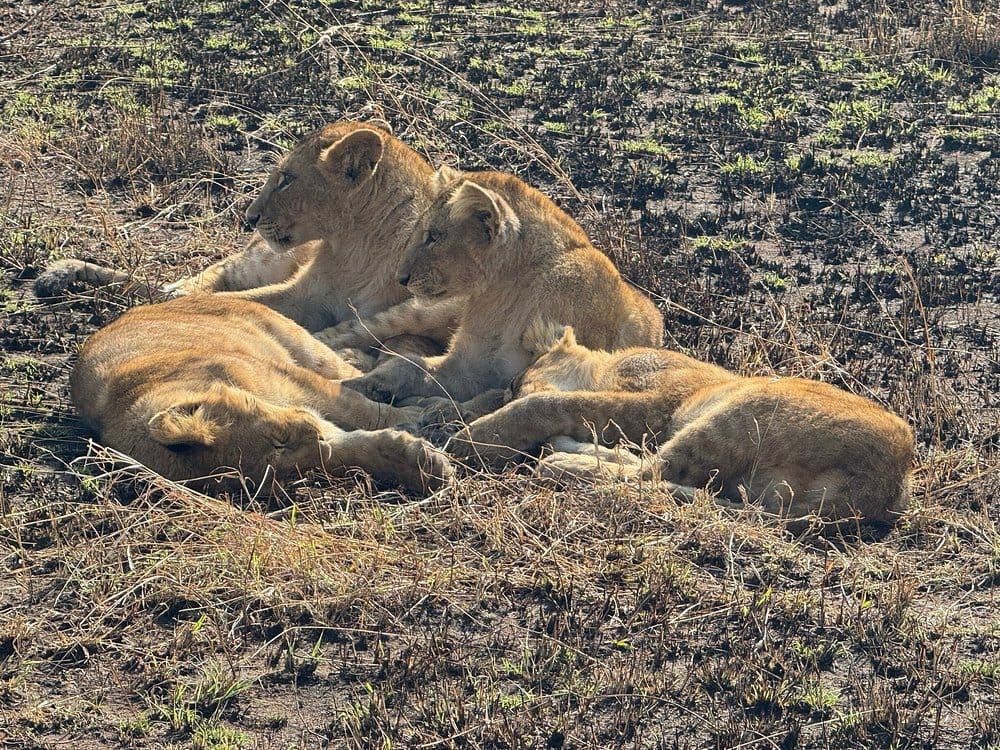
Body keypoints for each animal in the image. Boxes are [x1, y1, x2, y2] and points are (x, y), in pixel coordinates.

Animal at [71, 295, 452, 495]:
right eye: (296, 472)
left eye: (280, 438)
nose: (313, 433)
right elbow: (356, 447)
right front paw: (420, 463)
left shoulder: (289, 379)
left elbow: (358, 407)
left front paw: (423, 418)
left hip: (295, 341)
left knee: (353, 373)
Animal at [342, 171, 664, 419]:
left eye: (433, 236)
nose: (401, 277)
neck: (506, 291)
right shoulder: (468, 366)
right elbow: (408, 365)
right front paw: (361, 384)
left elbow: (494, 396)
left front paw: (444, 411)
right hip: (423, 313)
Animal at [450, 325, 914, 526]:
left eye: (514, 382)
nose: (507, 389)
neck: (606, 366)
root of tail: (886, 483)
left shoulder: (656, 403)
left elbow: (550, 402)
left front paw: (472, 439)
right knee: (655, 473)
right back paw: (564, 452)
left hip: (743, 408)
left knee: (647, 476)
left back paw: (559, 463)